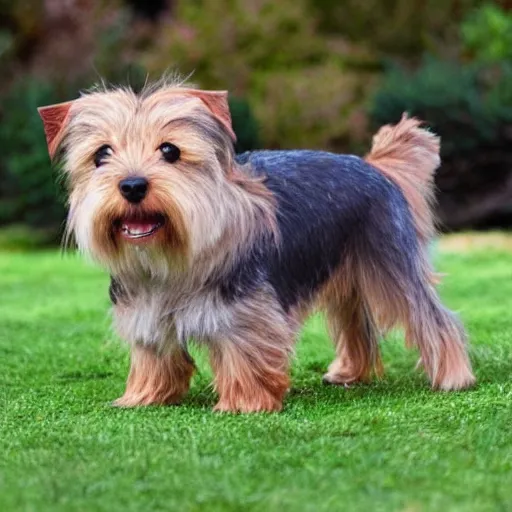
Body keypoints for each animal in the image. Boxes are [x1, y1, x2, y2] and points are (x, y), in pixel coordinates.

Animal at [38, 76, 474, 412]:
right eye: (102, 154)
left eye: (170, 151)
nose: (131, 185)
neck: (170, 256)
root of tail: (374, 165)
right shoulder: (144, 310)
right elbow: (154, 354)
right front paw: (144, 396)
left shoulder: (245, 311)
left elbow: (243, 353)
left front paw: (244, 404)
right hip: (345, 274)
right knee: (354, 322)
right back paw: (349, 372)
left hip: (390, 262)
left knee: (432, 317)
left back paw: (455, 377)